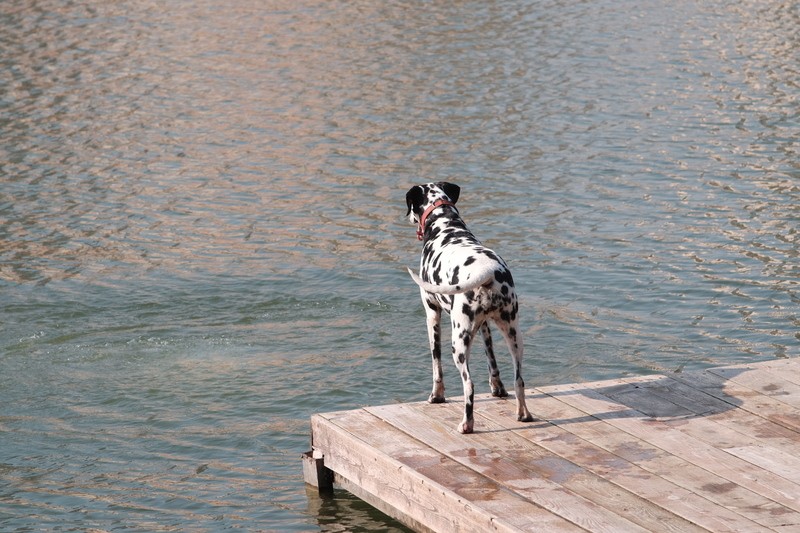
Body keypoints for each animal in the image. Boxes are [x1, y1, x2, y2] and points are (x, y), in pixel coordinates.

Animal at [406, 182, 532, 432]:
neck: (445, 225)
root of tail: (488, 272)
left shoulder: (432, 314)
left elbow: (436, 366)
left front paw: (436, 396)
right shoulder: (485, 326)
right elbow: (492, 363)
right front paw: (497, 389)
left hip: (459, 343)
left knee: (469, 386)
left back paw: (467, 424)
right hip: (514, 336)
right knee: (519, 380)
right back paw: (523, 414)